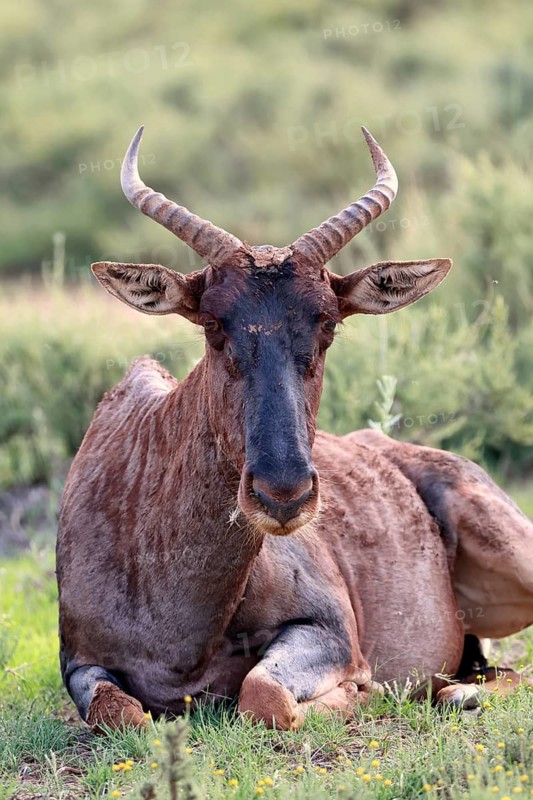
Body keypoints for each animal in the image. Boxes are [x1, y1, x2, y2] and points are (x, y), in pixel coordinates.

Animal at [57, 126, 533, 732]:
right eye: (212, 322)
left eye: (327, 322)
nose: (283, 495)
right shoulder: (80, 663)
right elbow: (123, 715)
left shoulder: (329, 631)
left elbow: (264, 697)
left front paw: (361, 693)